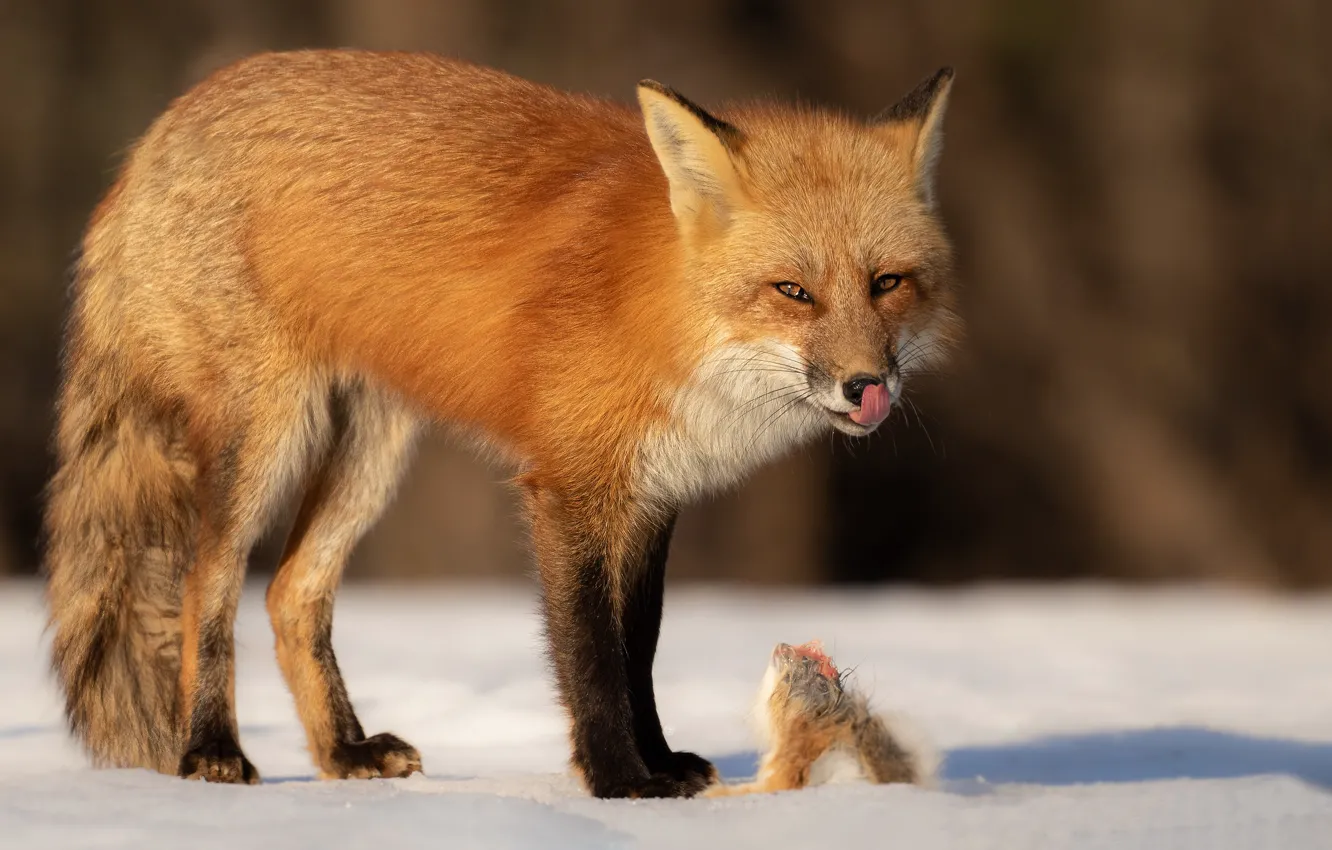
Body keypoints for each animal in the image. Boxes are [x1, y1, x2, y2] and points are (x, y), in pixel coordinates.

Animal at [44, 51, 959, 799]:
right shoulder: (567, 485)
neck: (662, 307)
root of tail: (160, 129)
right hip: (267, 435)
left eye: (886, 283)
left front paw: (662, 764)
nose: (867, 386)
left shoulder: (651, 495)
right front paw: (620, 781)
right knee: (209, 581)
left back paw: (344, 754)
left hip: (374, 451)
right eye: (793, 292)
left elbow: (639, 648)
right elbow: (591, 653)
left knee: (292, 591)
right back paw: (211, 751)